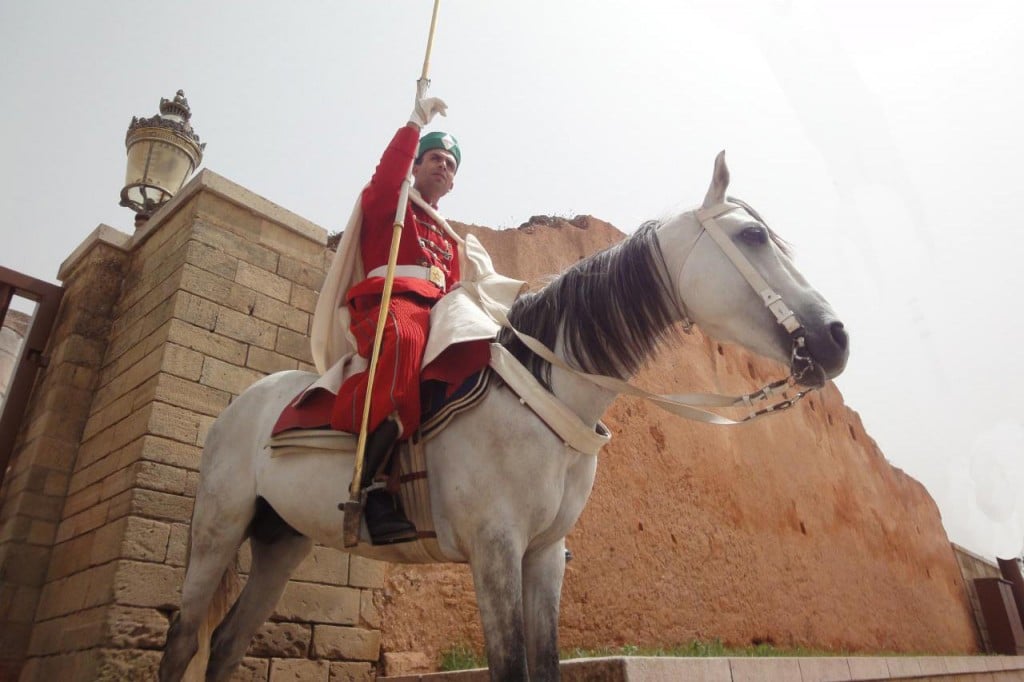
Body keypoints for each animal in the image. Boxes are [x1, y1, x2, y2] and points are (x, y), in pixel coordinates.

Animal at [157, 153, 847, 679]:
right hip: (218, 528)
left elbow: (543, 665)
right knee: (184, 640)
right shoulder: (494, 550)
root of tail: (241, 407)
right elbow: (510, 666)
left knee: (227, 644)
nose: (835, 337)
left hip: (281, 541)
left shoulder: (543, 557)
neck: (545, 395)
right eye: (753, 237)